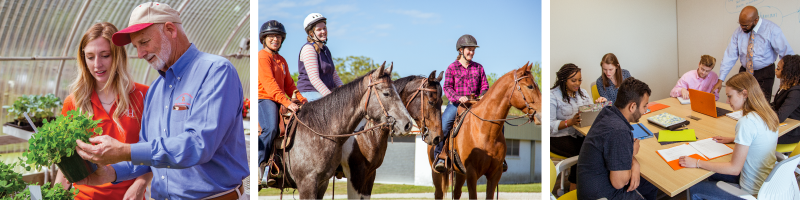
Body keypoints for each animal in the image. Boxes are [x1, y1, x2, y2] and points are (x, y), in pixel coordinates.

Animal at [340, 70, 446, 198]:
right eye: (431, 102)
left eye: (441, 102)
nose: (437, 137)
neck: (364, 136)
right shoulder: (356, 176)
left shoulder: (370, 175)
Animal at [424, 61, 544, 199]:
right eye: (530, 86)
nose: (541, 115)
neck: (484, 131)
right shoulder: (472, 173)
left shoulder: (495, 174)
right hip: (436, 172)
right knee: (438, 193)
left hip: (460, 173)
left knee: (457, 192)